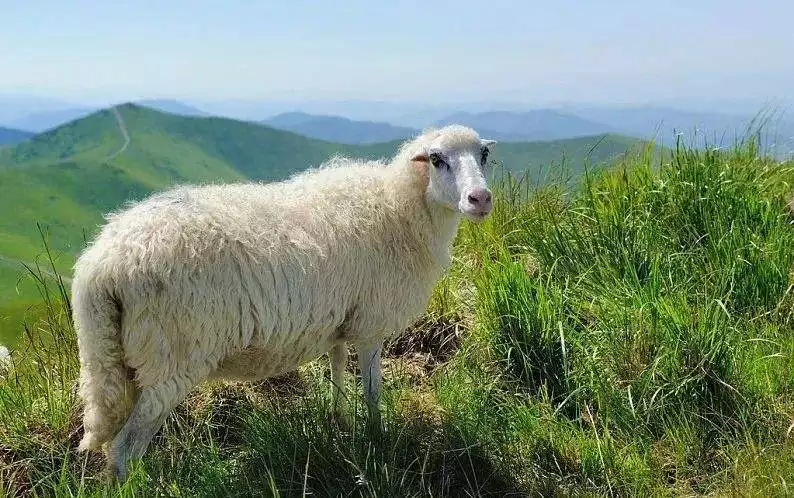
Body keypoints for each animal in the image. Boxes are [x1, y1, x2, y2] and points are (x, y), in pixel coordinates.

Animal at [72, 123, 496, 478]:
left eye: (484, 155)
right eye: (437, 159)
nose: (480, 198)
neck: (400, 208)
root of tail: (102, 264)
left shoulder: (340, 321)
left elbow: (338, 370)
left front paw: (340, 422)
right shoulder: (371, 326)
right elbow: (373, 392)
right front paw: (379, 440)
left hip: (116, 358)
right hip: (170, 356)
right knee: (124, 451)